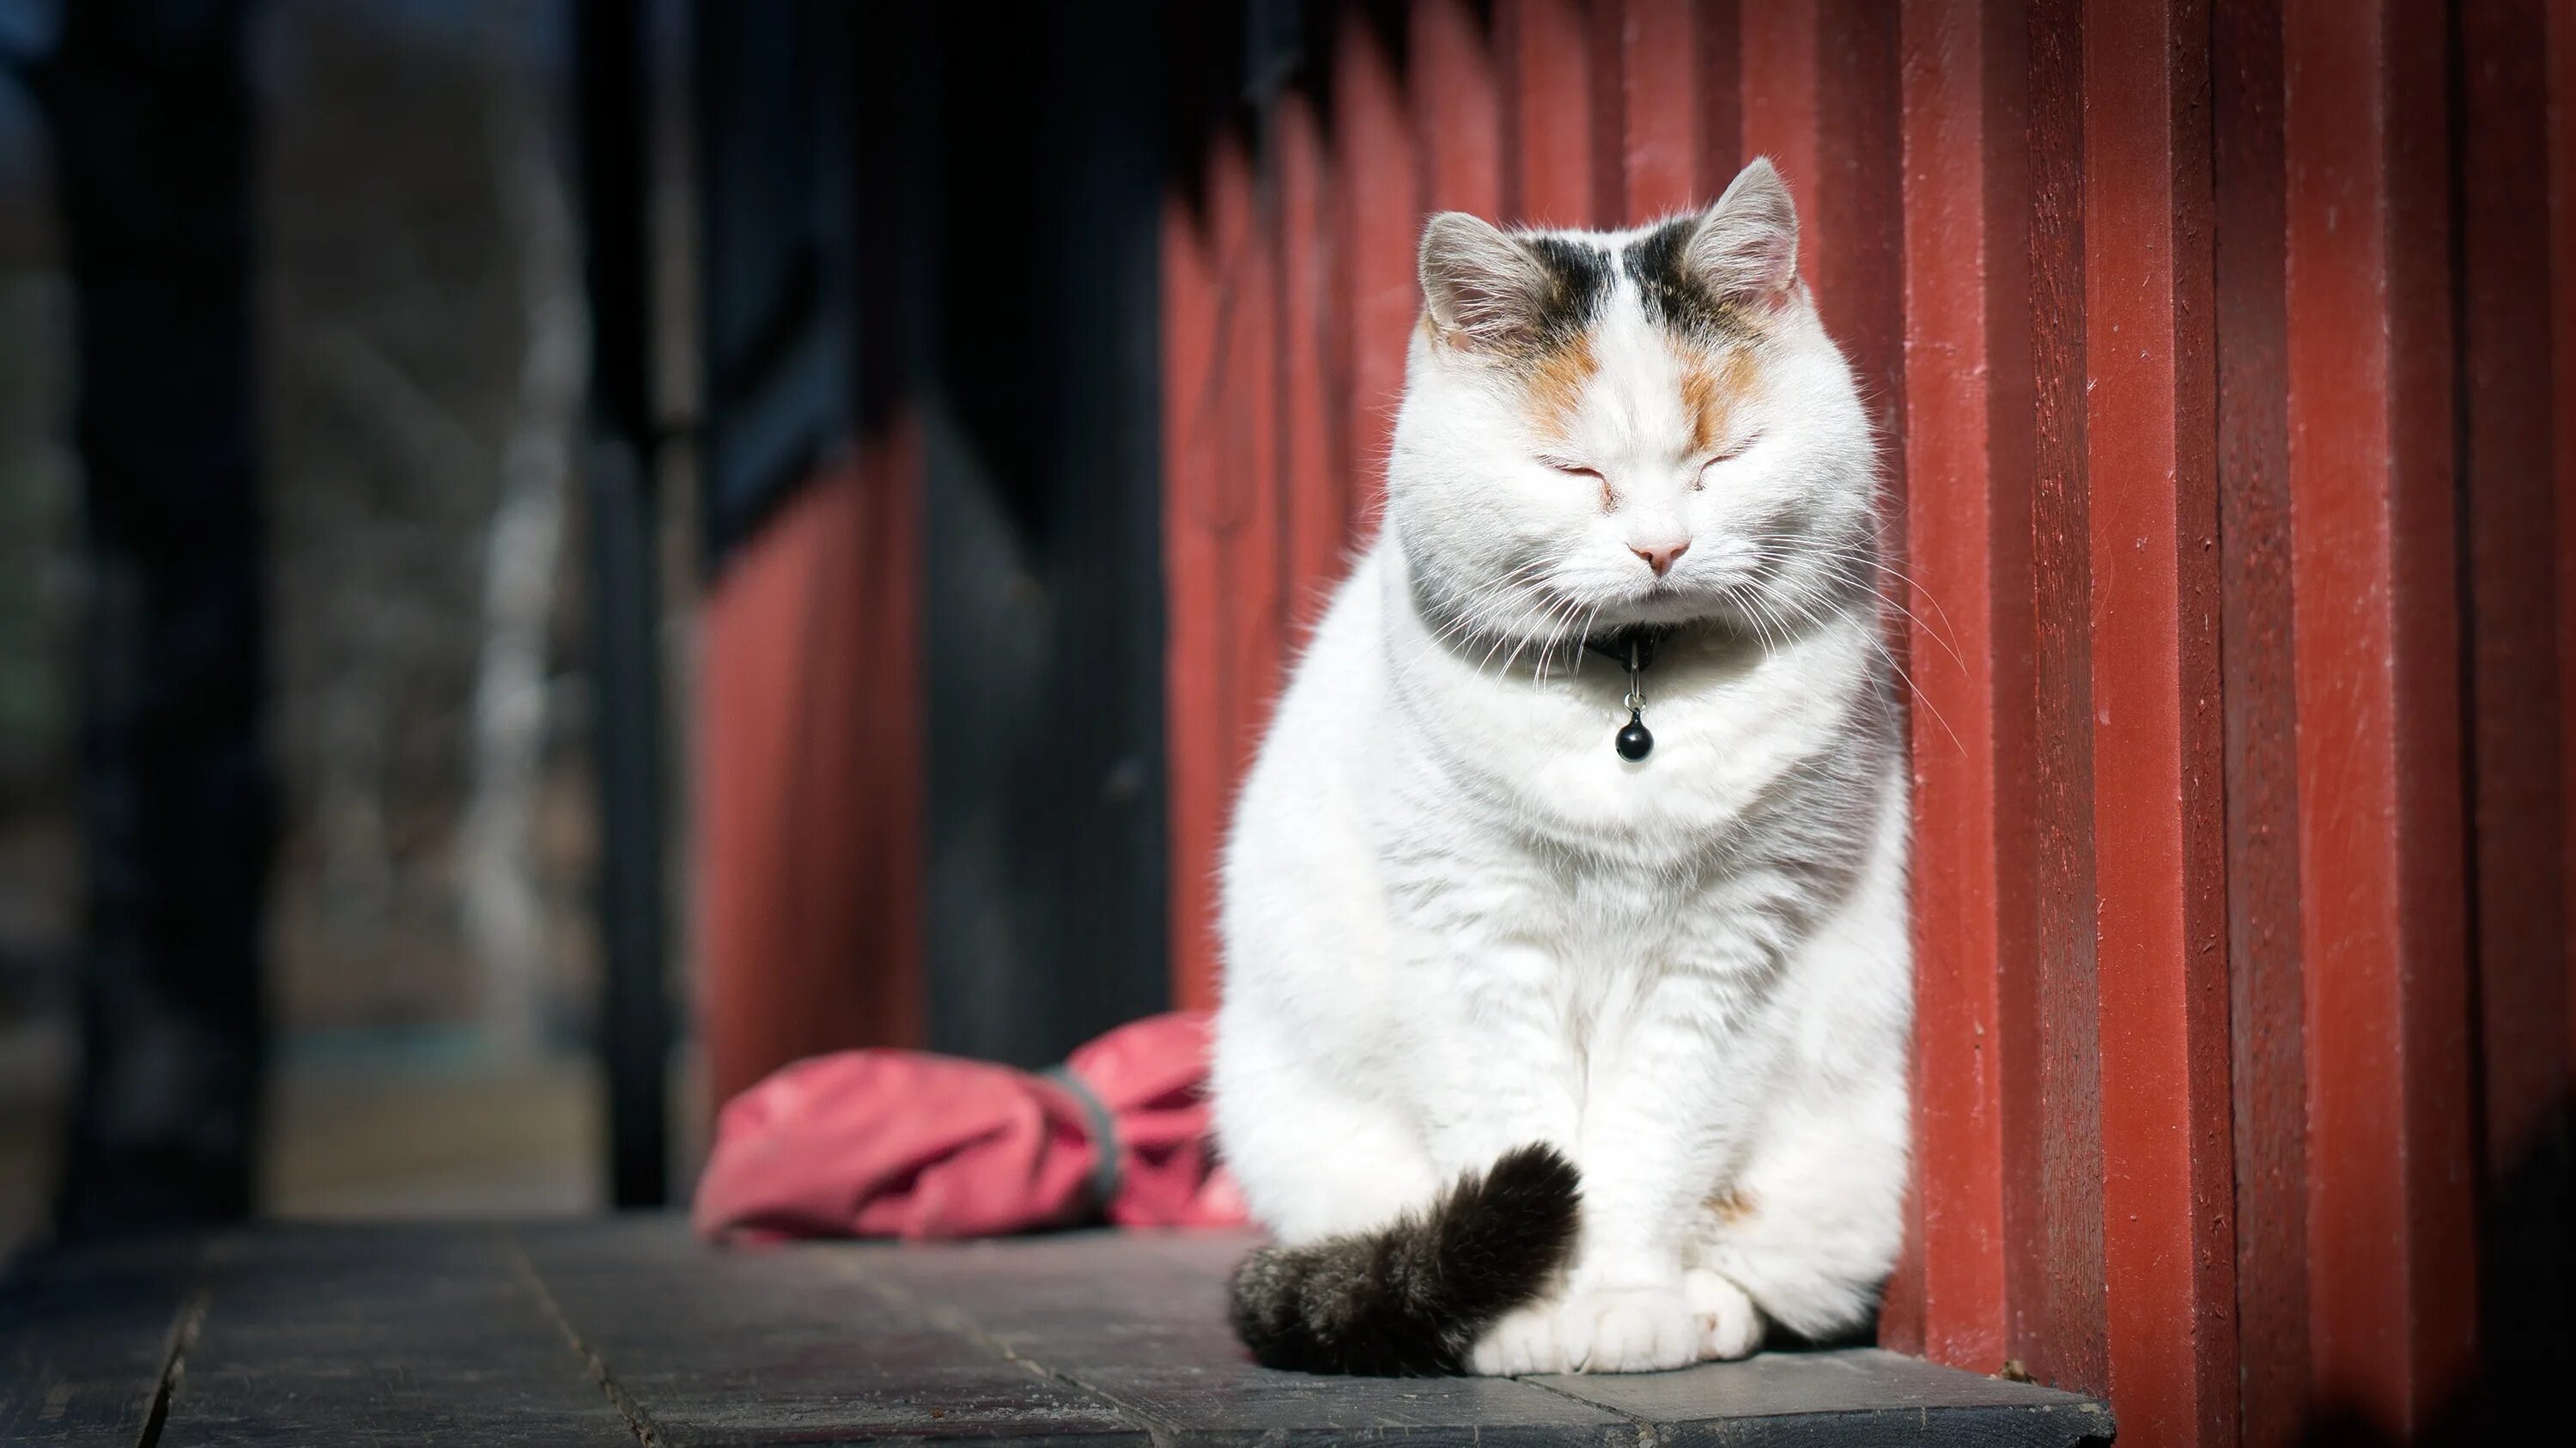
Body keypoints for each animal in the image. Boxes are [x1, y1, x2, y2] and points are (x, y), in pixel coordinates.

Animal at [1206, 160, 1917, 1371]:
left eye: (1721, 460)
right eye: (1573, 471)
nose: (1661, 548)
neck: (1635, 698)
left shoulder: (1725, 954)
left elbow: (1648, 1148)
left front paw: (1625, 1304)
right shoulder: (1478, 941)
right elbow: (1517, 1125)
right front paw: (1530, 1318)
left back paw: (1708, 1309)